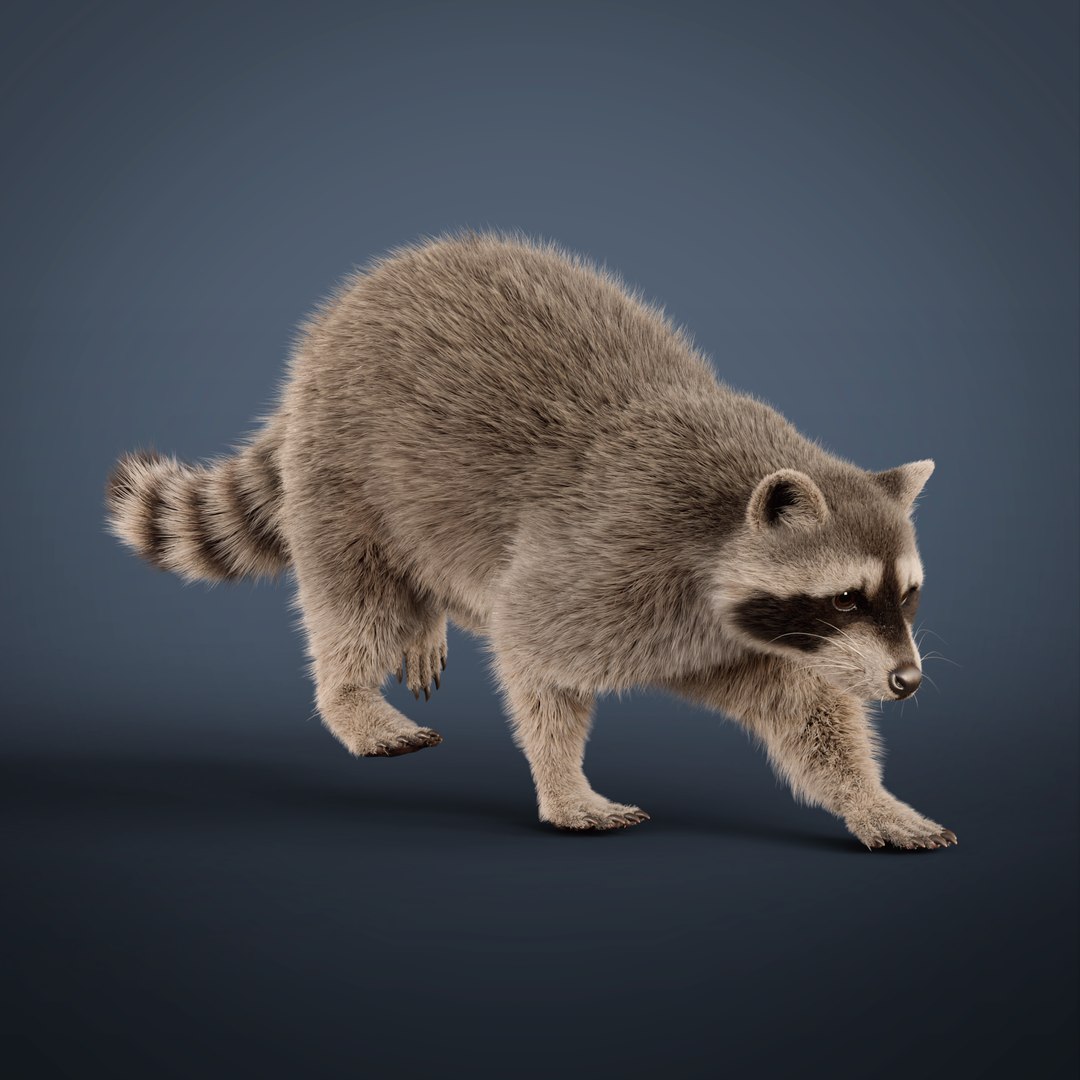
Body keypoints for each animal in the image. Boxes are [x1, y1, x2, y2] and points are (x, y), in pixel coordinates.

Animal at [107, 231, 956, 851]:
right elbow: (533, 653)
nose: (909, 681)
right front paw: (563, 782)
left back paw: (426, 622)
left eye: (909, 594)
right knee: (356, 595)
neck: (723, 528)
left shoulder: (736, 634)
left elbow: (809, 711)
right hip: (345, 464)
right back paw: (352, 697)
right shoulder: (611, 553)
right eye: (845, 597)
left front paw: (869, 797)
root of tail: (344, 311)